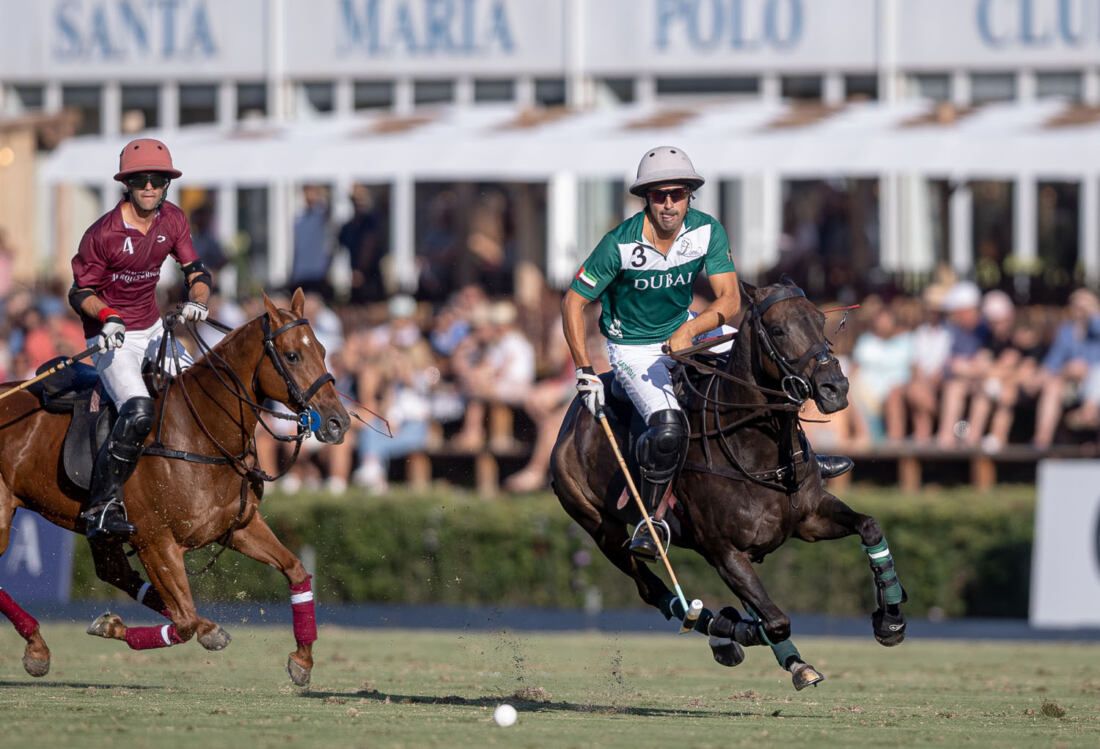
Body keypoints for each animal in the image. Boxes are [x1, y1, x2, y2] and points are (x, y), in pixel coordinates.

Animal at [0, 288, 347, 681]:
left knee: (115, 571)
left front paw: (302, 660)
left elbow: (295, 570)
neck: (200, 433)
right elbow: (184, 621)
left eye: (323, 349)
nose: (338, 422)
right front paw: (114, 626)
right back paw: (36, 648)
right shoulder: (155, 540)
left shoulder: (238, 525)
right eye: (292, 355)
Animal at [554, 280, 906, 690]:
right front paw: (741, 632)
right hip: (601, 527)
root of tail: (571, 419)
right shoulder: (724, 550)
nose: (835, 388)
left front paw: (890, 620)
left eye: (821, 321)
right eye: (778, 330)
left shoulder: (810, 519)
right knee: (650, 587)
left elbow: (869, 526)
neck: (758, 451)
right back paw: (721, 629)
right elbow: (775, 620)